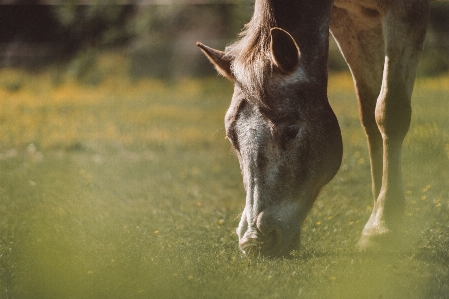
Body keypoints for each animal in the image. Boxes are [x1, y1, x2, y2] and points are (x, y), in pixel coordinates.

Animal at [196, 0, 430, 258]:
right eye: (232, 137)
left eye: (291, 131)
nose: (254, 242)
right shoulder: (351, 19)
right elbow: (371, 114)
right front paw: (384, 214)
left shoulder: (406, 10)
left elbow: (389, 112)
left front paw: (382, 226)